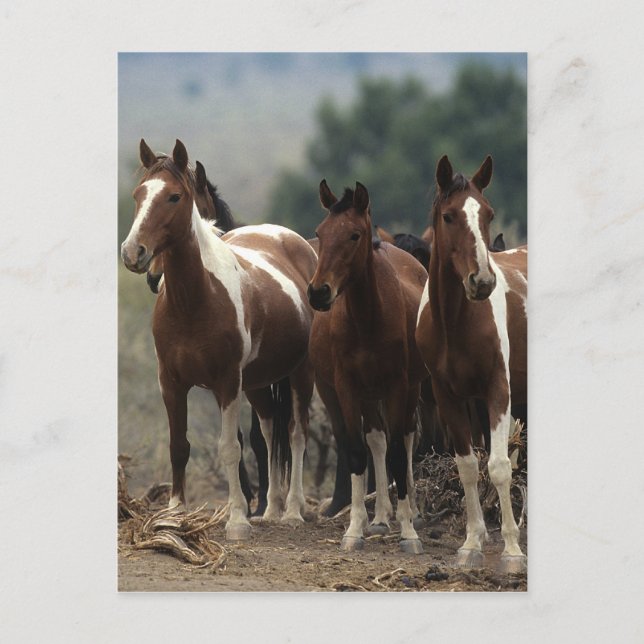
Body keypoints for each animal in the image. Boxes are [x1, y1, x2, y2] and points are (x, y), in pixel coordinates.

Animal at [121, 139, 317, 540]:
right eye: (138, 194)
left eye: (175, 196)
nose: (133, 253)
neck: (195, 299)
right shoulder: (171, 382)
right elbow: (179, 446)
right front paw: (174, 513)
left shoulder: (227, 382)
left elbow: (230, 448)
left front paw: (238, 519)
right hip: (257, 383)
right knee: (270, 431)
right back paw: (271, 509)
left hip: (300, 374)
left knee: (296, 434)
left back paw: (292, 510)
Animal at [307, 180, 429, 553]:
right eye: (320, 232)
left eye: (354, 235)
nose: (319, 292)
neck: (367, 319)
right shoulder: (346, 388)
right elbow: (359, 451)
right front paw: (355, 530)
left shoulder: (398, 386)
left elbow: (398, 454)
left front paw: (408, 533)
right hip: (362, 394)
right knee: (376, 439)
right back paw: (379, 519)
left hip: (408, 388)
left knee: (406, 438)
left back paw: (410, 512)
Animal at [415, 154, 527, 573]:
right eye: (449, 216)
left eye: (489, 214)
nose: (481, 281)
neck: (455, 322)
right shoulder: (448, 397)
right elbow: (466, 466)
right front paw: (472, 544)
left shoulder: (498, 390)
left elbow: (498, 466)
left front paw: (512, 551)